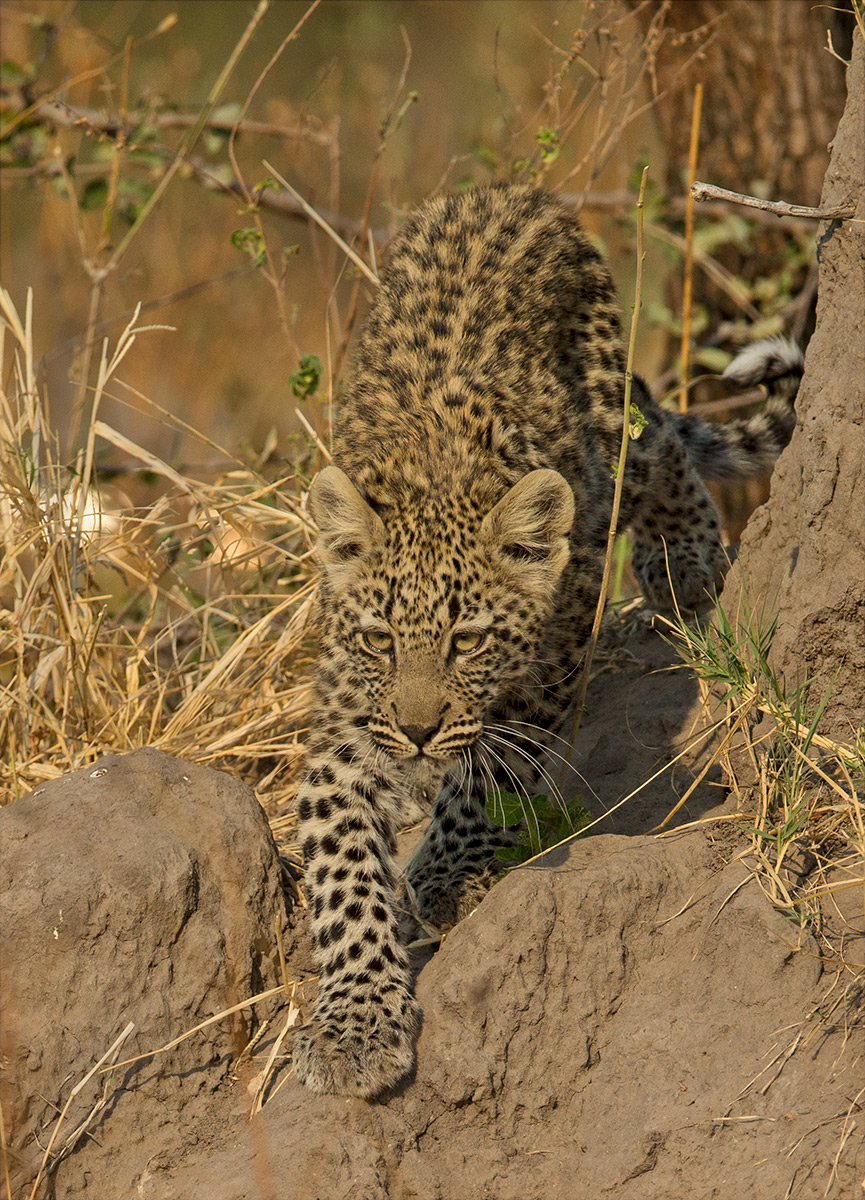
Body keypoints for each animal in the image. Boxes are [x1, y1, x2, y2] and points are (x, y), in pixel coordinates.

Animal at [290, 183, 801, 1100]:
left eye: (467, 641)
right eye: (380, 638)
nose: (415, 733)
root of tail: (509, 196)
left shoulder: (546, 671)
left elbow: (487, 780)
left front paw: (443, 875)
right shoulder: (345, 731)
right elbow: (343, 871)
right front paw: (354, 1025)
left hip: (607, 439)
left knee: (660, 445)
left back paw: (686, 569)